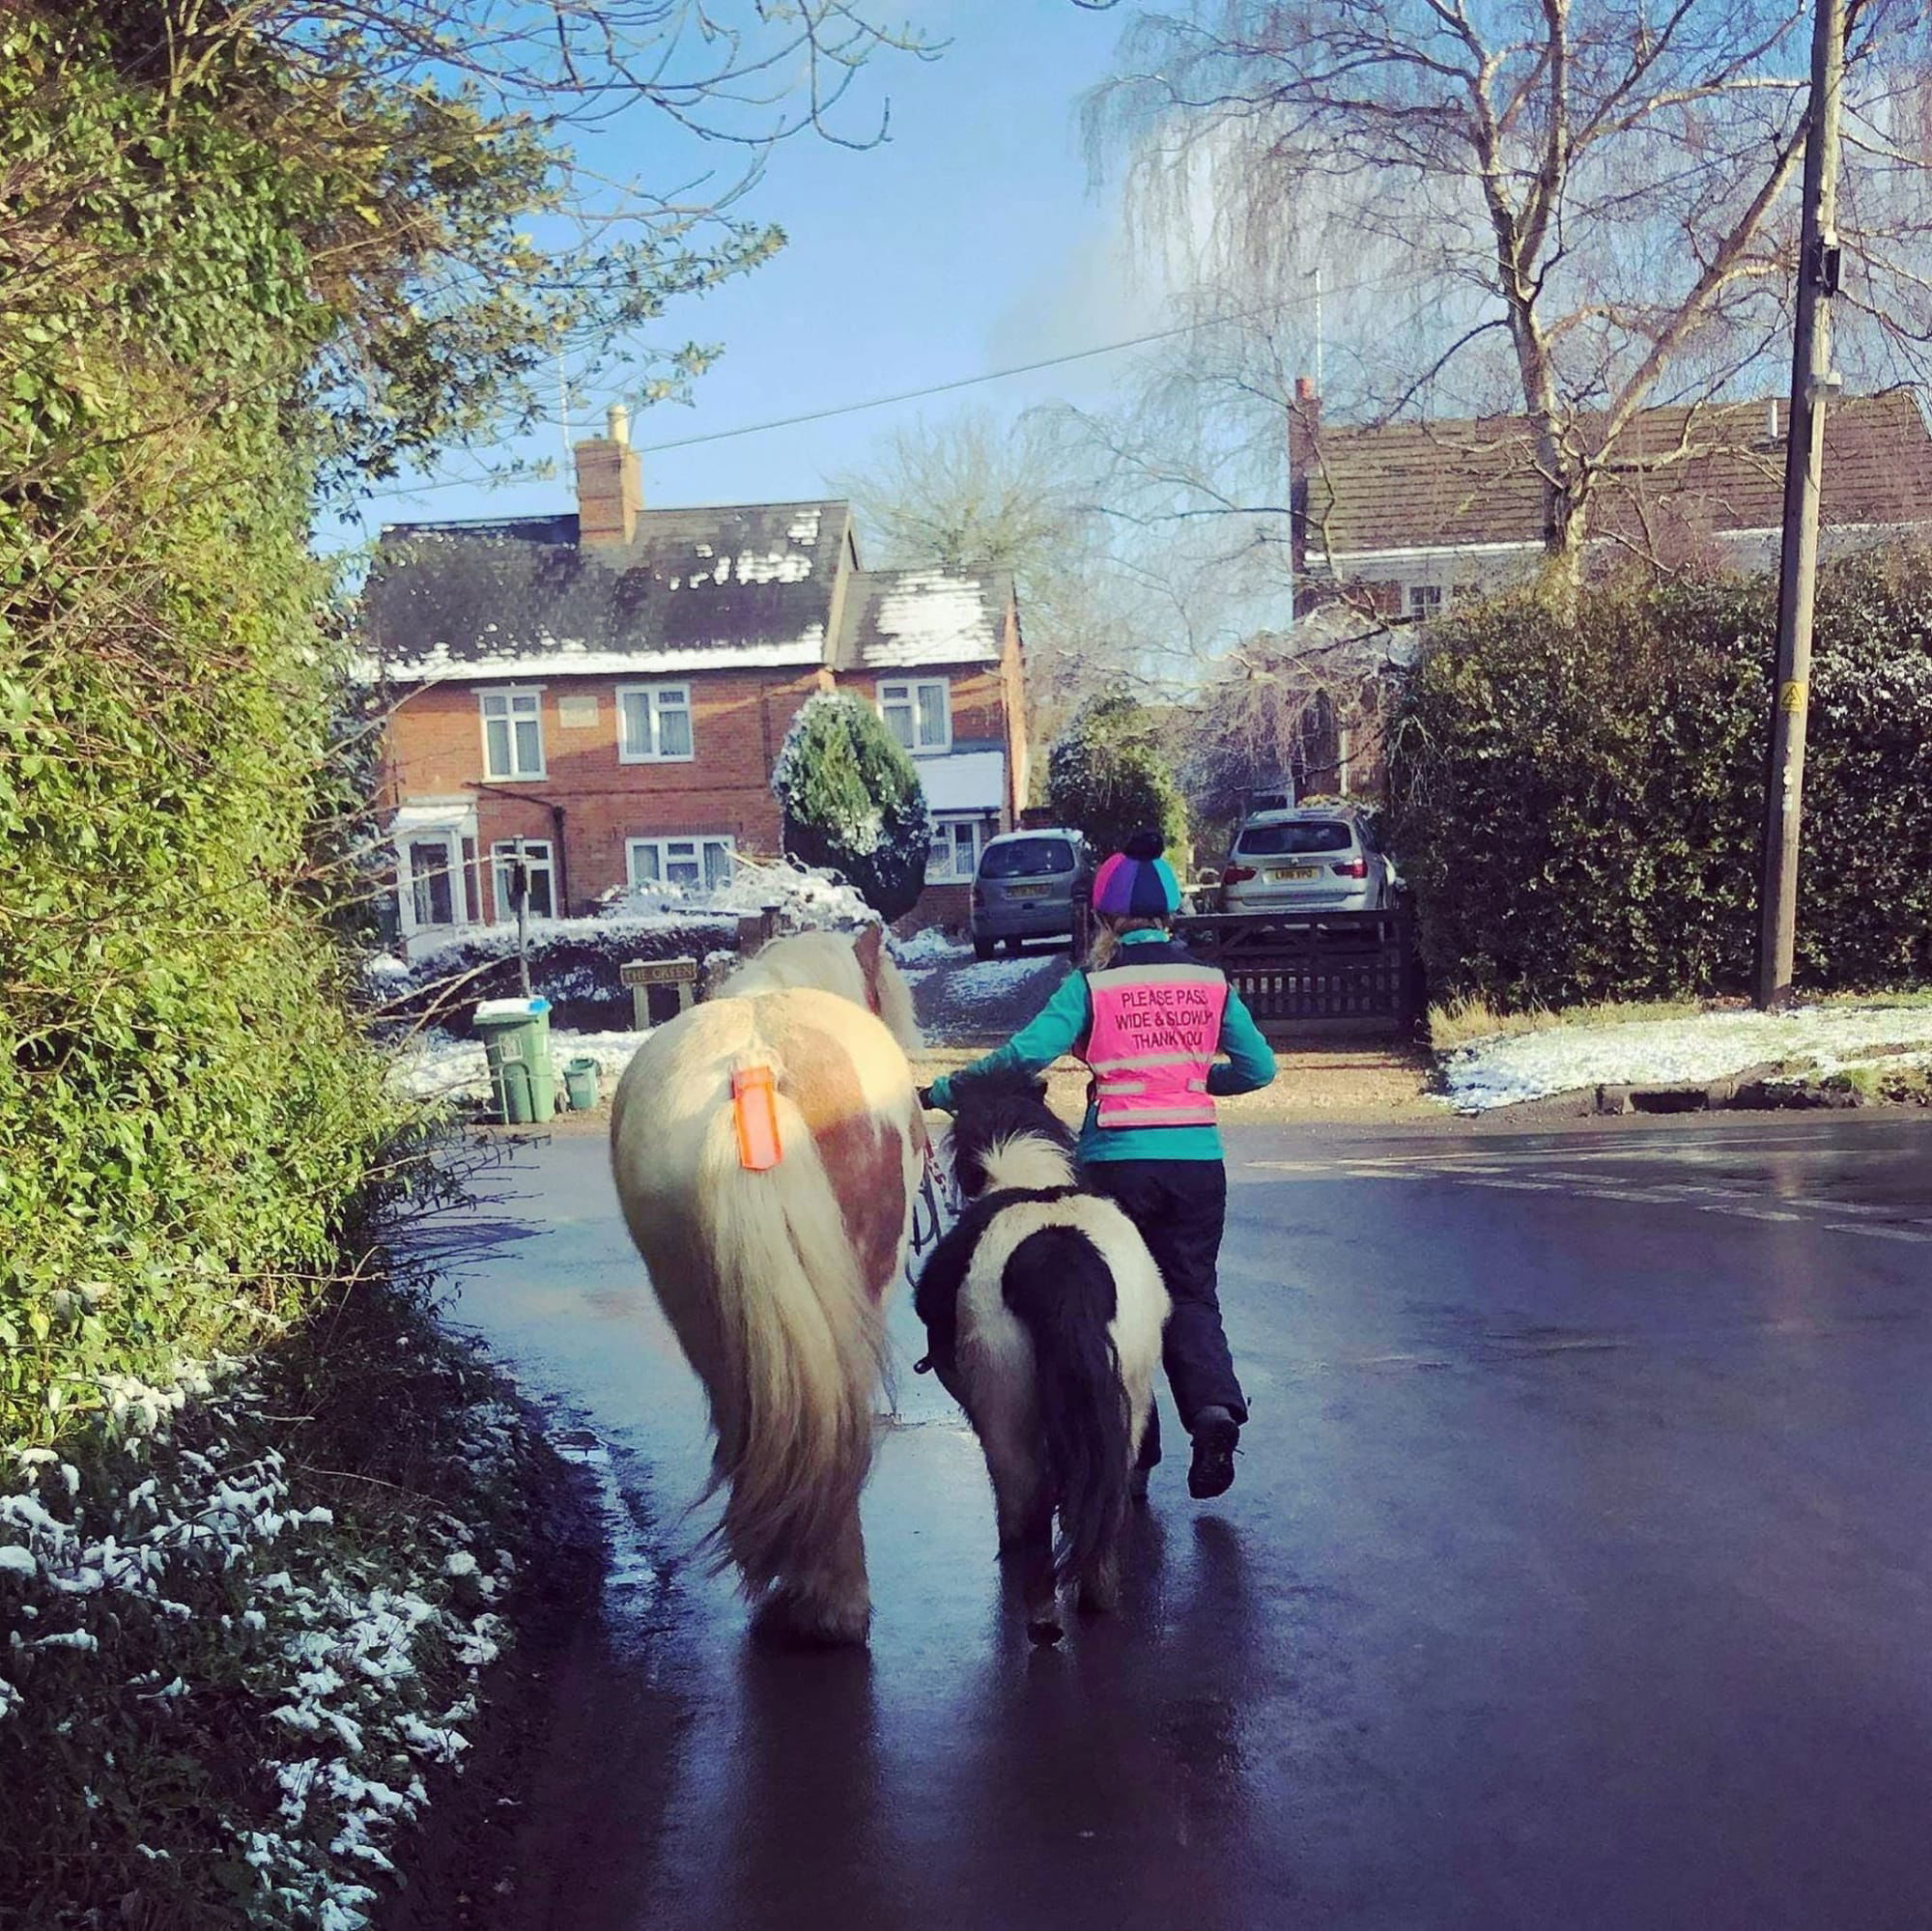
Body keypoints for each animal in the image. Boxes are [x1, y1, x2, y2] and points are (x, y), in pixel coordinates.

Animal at [912, 1073, 1167, 1645]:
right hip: (1128, 1401)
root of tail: (1058, 1249)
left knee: (1025, 1509)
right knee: (1108, 1496)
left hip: (1006, 1415)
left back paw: (1042, 1617)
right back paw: (1095, 1597)